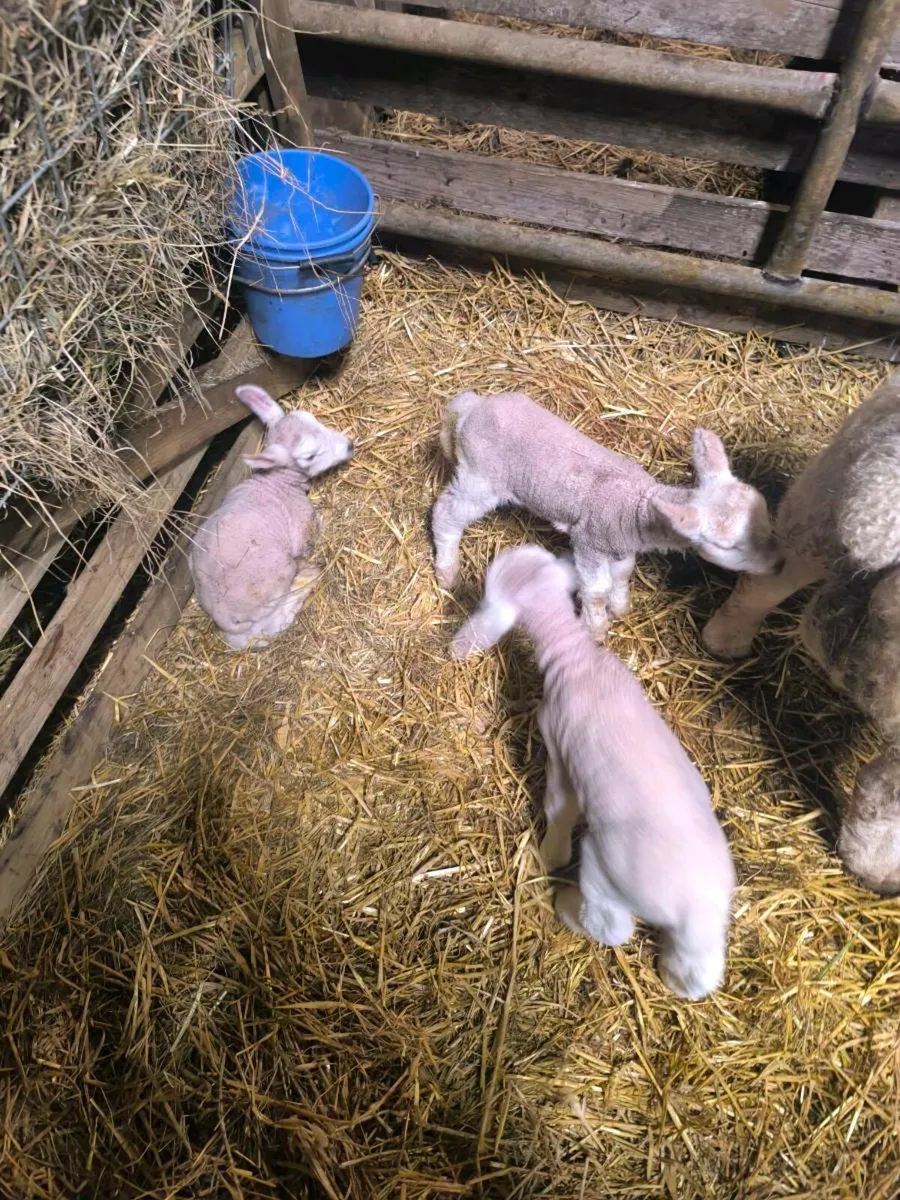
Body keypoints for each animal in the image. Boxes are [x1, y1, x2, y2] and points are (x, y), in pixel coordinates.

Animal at [189, 384, 353, 650]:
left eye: (313, 418)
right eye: (309, 456)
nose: (349, 446)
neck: (277, 480)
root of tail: (224, 618)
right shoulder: (303, 530)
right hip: (278, 576)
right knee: (264, 630)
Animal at [432, 390, 778, 635]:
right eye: (728, 546)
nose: (776, 565)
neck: (636, 505)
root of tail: (472, 408)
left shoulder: (620, 546)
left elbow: (622, 576)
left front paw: (620, 606)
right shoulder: (589, 543)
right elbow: (596, 590)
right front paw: (596, 627)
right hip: (480, 478)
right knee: (446, 513)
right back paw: (447, 569)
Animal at [452, 544, 736, 1000]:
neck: (574, 652)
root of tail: (692, 903)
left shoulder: (555, 741)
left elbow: (558, 805)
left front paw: (551, 852)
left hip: (608, 878)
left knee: (611, 926)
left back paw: (567, 907)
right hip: (706, 922)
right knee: (699, 965)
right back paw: (675, 977)